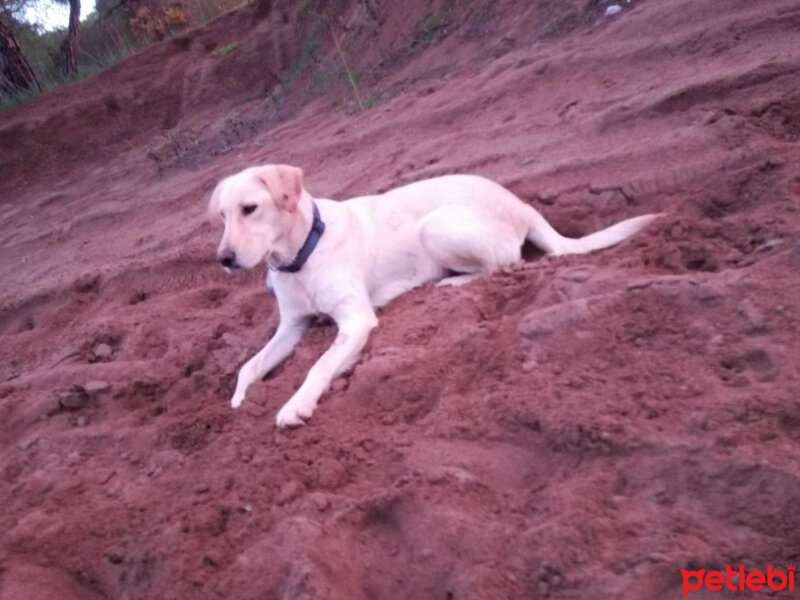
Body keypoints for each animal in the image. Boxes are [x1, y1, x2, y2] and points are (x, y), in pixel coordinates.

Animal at [209, 164, 660, 426]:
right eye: (222, 216)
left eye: (250, 208)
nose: (224, 259)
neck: (301, 254)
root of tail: (523, 205)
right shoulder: (291, 326)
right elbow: (248, 366)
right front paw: (239, 402)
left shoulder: (356, 321)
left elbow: (318, 365)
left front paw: (295, 405)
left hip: (436, 227)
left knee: (507, 263)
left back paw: (449, 283)